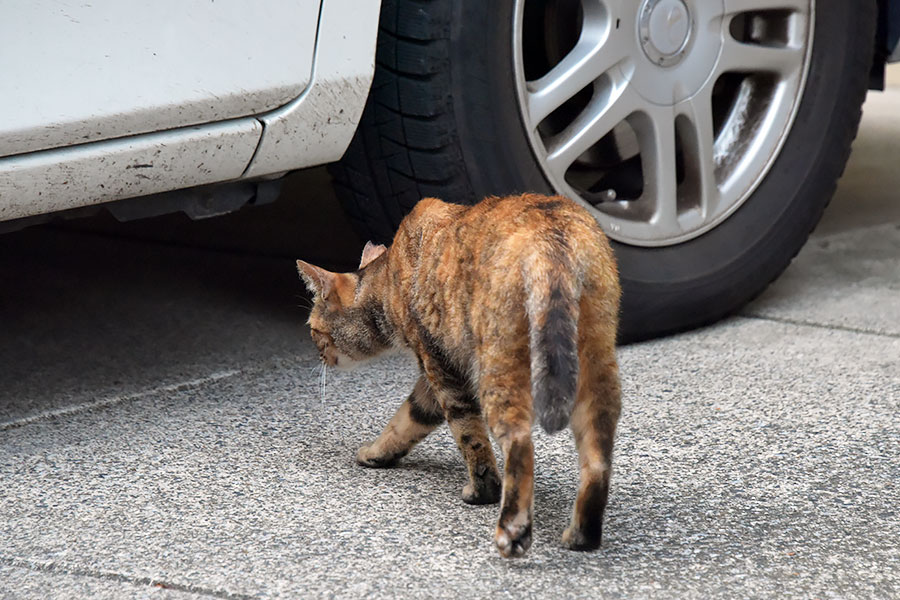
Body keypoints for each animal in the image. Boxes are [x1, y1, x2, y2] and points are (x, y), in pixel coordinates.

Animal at [298, 195, 624, 556]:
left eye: (313, 329)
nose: (317, 353)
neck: (389, 281)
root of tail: (554, 242)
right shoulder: (433, 375)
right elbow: (405, 420)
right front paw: (376, 453)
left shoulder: (439, 364)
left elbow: (468, 435)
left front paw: (483, 491)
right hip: (596, 365)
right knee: (597, 456)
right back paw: (583, 535)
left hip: (498, 367)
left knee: (520, 444)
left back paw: (512, 528)